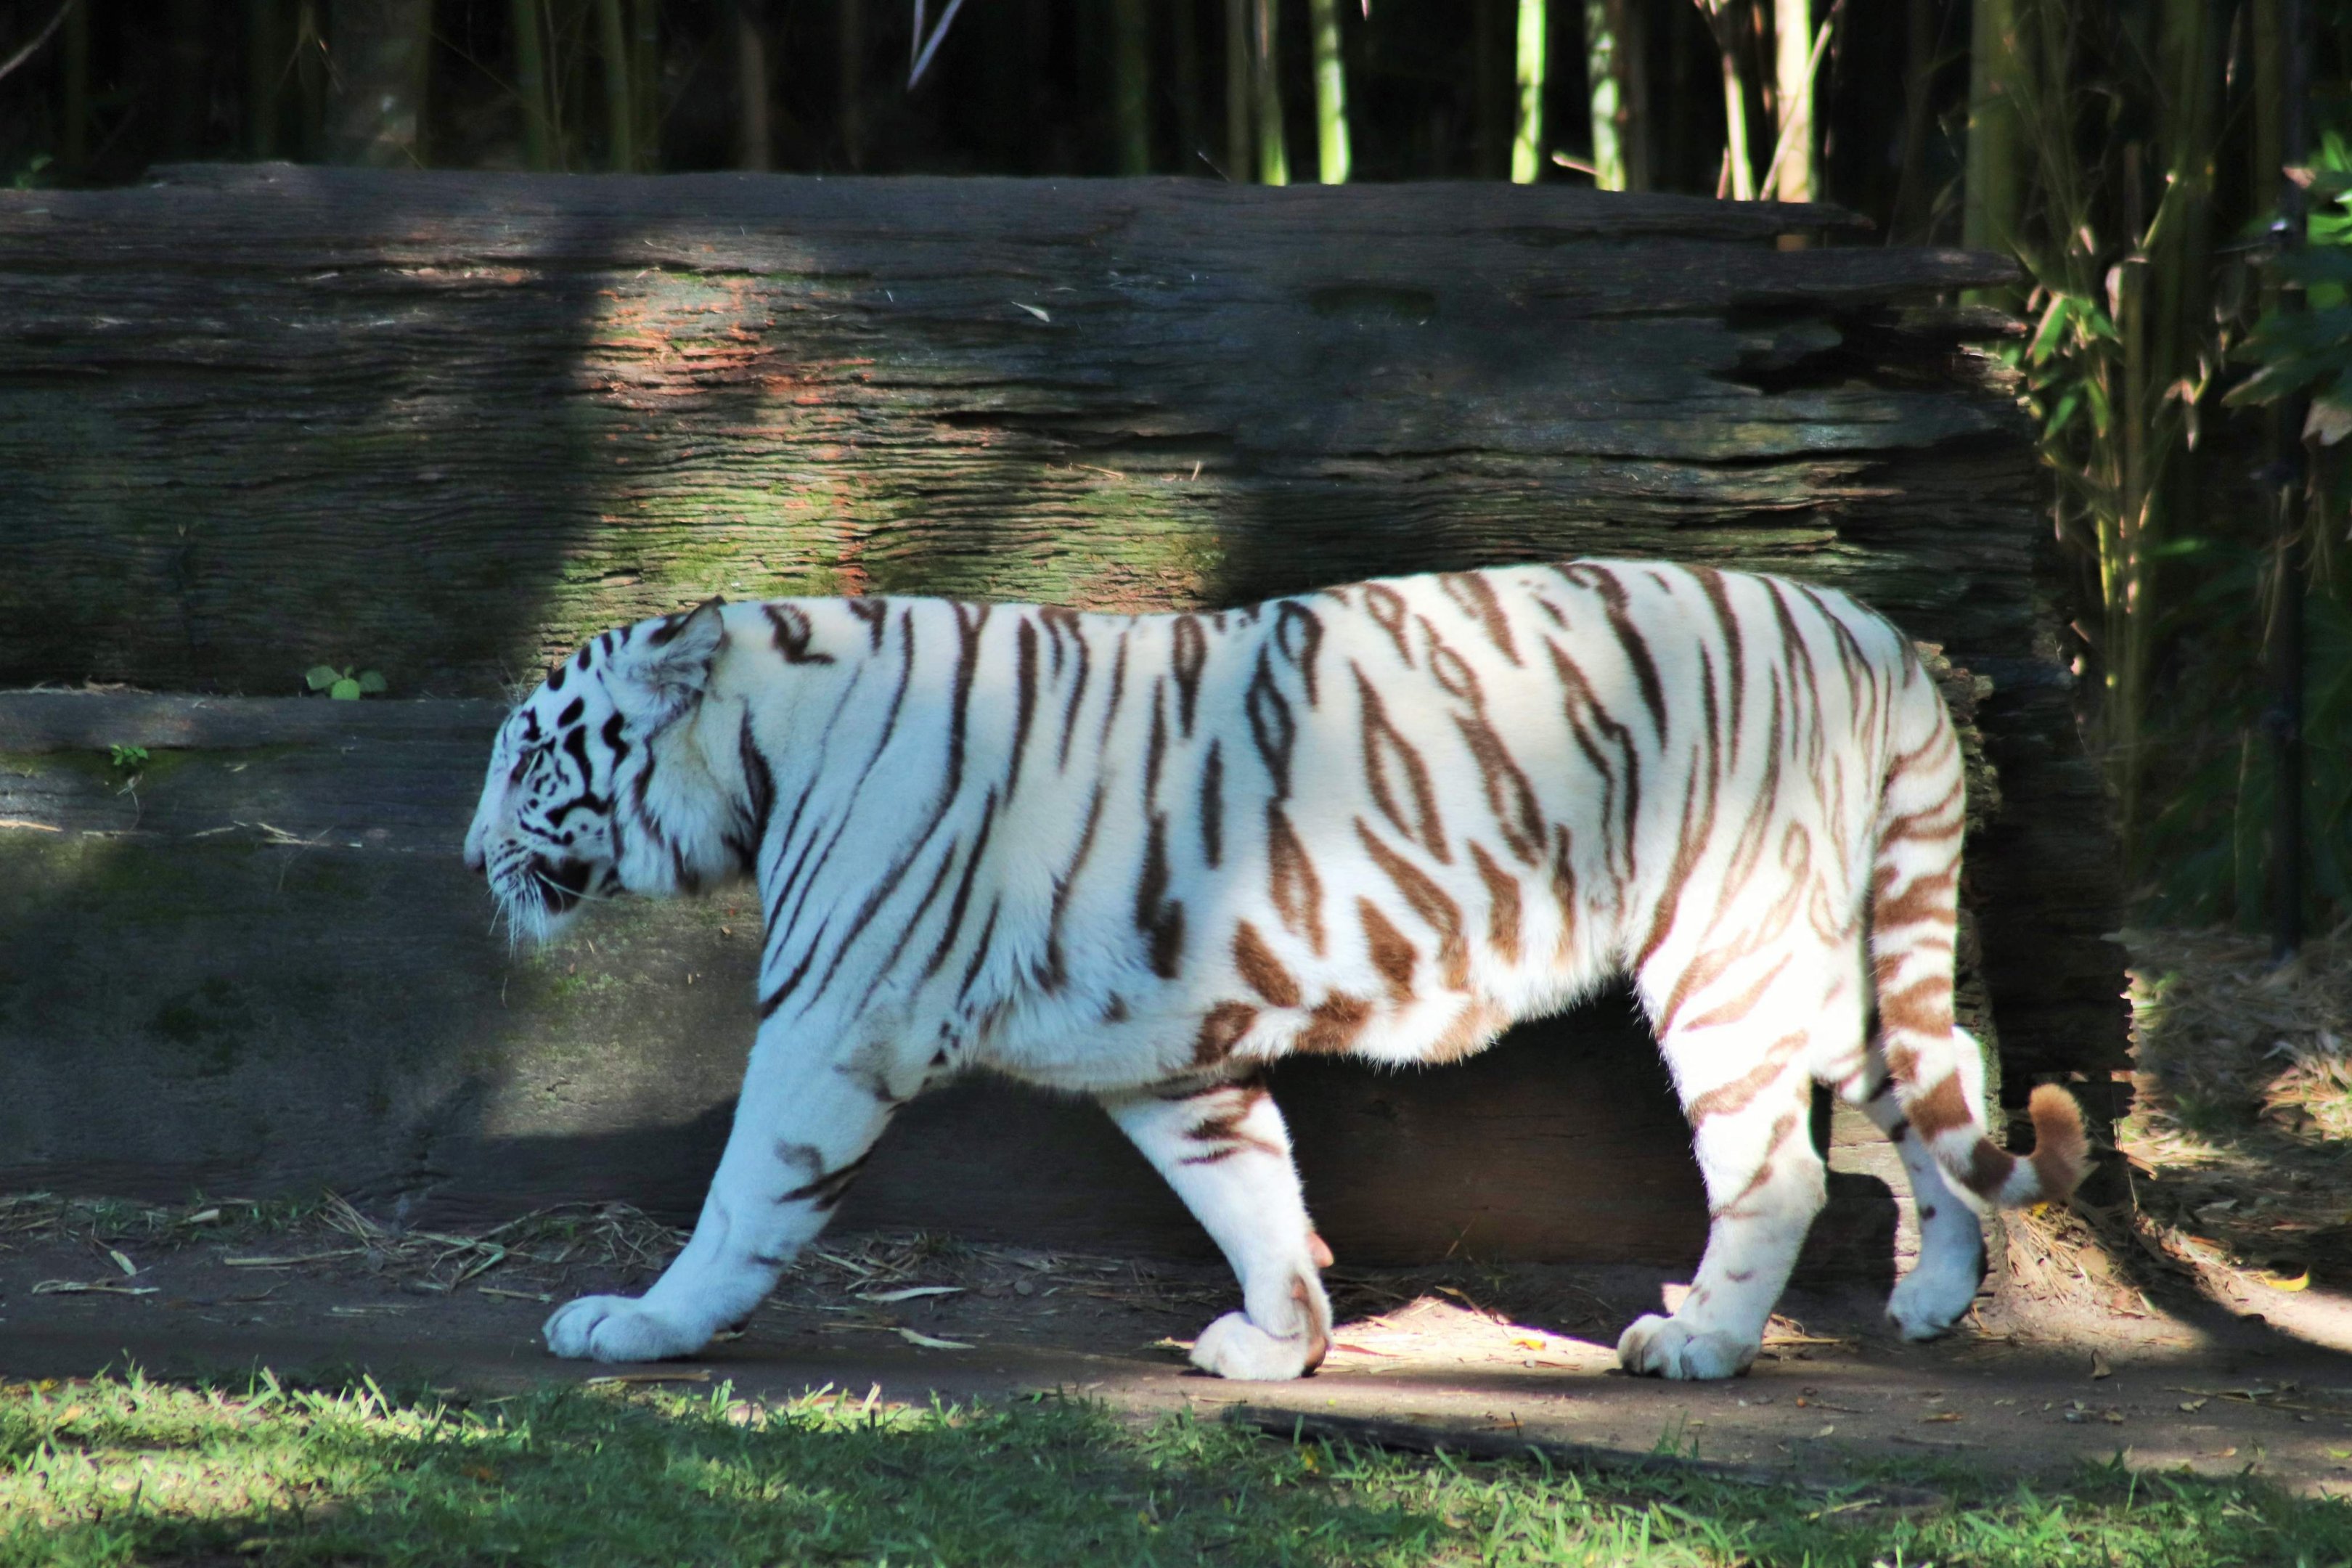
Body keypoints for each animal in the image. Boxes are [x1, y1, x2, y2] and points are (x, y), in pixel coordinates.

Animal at [464, 559, 2086, 1382]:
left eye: (528, 755)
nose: (469, 853)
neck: (762, 748)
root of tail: (1869, 626)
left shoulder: (830, 1025)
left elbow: (742, 1197)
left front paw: (638, 1327)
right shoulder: (1166, 1054)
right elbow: (1245, 1186)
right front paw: (1282, 1337)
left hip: (1729, 946)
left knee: (1786, 1165)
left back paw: (1697, 1342)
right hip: (1814, 948)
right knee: (1936, 1082)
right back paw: (1933, 1299)